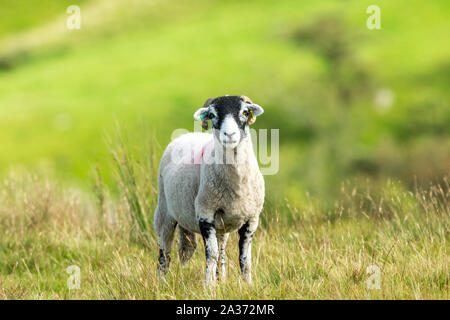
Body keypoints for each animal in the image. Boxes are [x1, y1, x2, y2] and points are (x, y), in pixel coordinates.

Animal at [155, 95, 266, 284]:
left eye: (245, 112)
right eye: (212, 115)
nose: (229, 135)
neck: (236, 184)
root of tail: (188, 134)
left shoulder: (252, 219)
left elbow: (244, 258)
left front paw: (247, 284)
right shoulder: (205, 214)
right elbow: (211, 255)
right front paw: (209, 286)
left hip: (222, 226)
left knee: (221, 252)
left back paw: (221, 279)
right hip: (165, 213)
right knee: (165, 252)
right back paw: (161, 282)